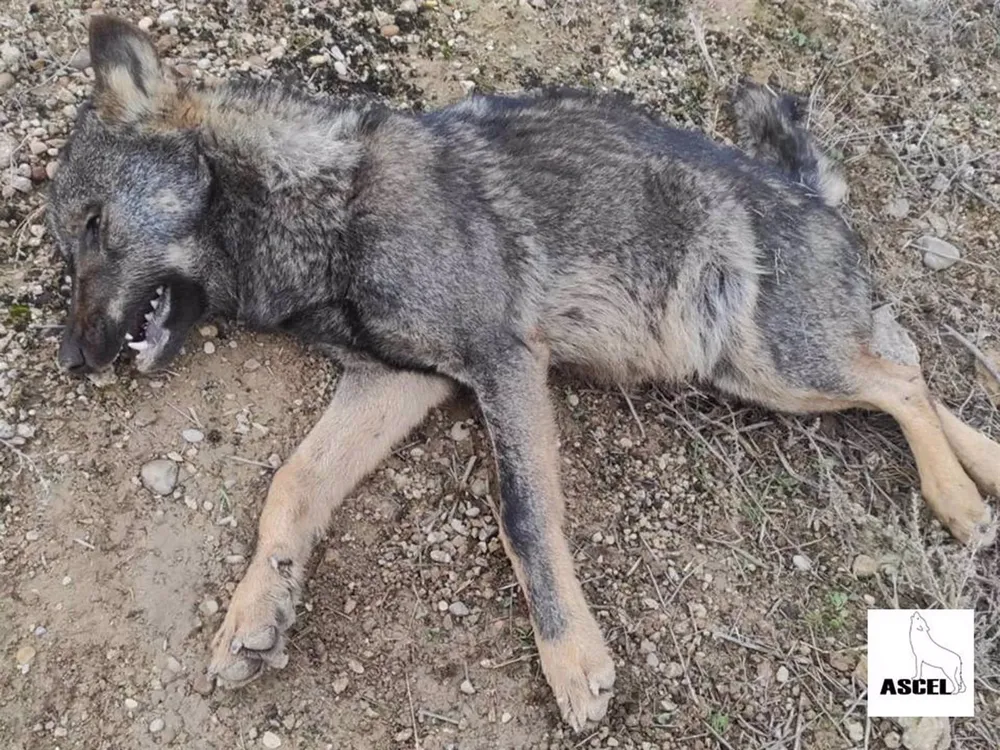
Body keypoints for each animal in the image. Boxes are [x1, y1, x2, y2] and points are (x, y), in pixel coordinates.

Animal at [47, 15, 1000, 730]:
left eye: (95, 226)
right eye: (64, 248)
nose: (69, 358)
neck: (326, 206)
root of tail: (808, 192)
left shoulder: (502, 364)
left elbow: (524, 519)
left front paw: (572, 660)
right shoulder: (397, 381)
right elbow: (291, 484)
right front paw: (256, 610)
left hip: (774, 365)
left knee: (900, 379)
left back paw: (957, 499)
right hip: (759, 370)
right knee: (903, 361)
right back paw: (984, 467)